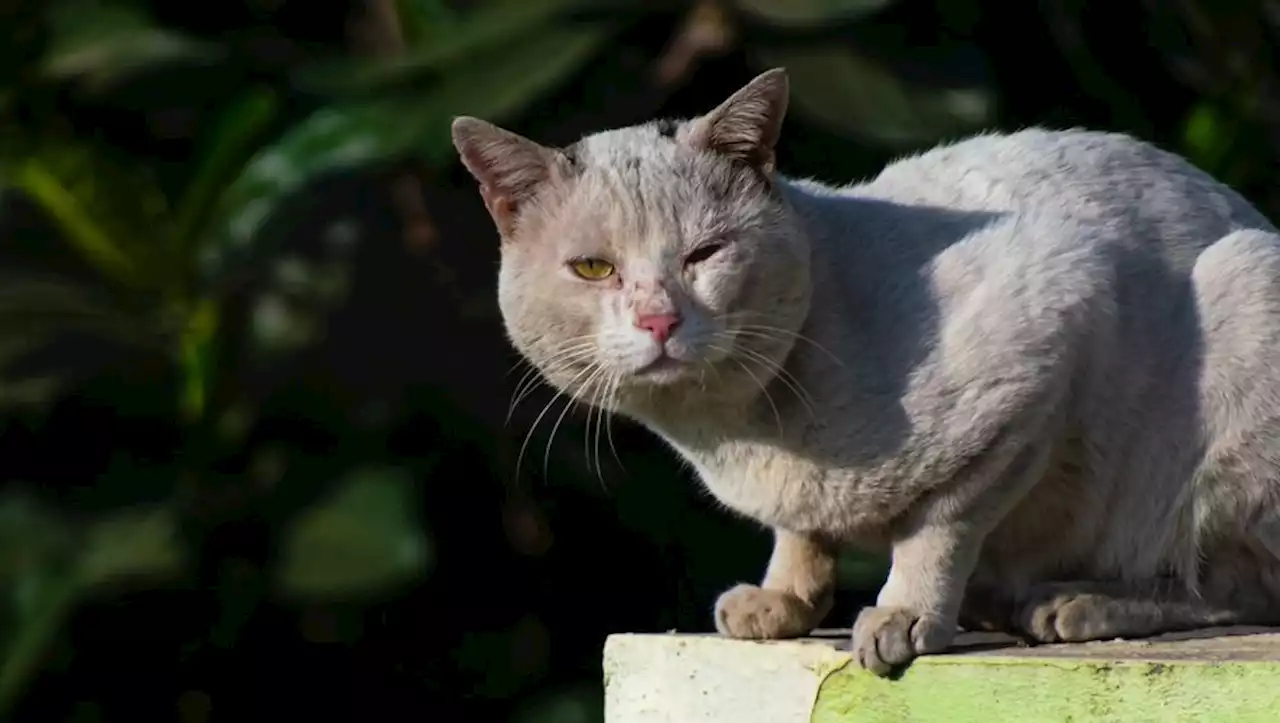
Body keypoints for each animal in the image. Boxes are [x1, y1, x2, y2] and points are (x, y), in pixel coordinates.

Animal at [448, 69, 1280, 675]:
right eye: (594, 268)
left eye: (704, 255)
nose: (659, 319)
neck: (735, 430)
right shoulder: (801, 500)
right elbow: (802, 532)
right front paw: (781, 604)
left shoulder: (1046, 340)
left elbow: (936, 526)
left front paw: (905, 618)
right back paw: (999, 600)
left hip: (1241, 304)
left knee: (1229, 583)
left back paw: (1070, 604)